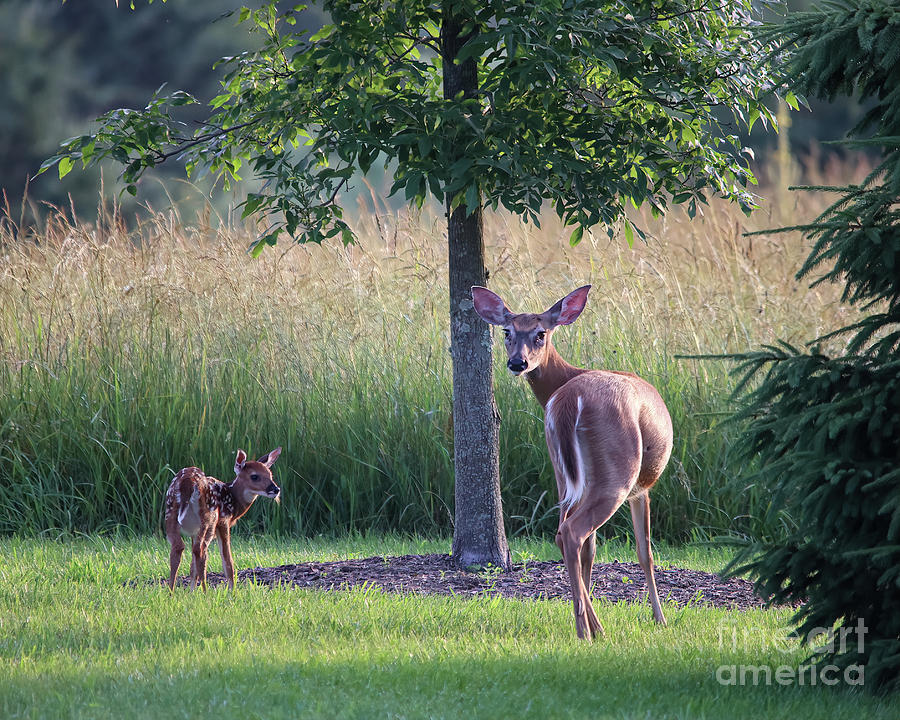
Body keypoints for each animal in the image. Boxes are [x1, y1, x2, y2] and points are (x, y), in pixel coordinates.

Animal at [165, 448, 282, 592]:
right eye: (254, 476)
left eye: (270, 474)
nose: (276, 489)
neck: (233, 500)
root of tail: (187, 483)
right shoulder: (223, 521)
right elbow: (228, 561)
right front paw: (233, 591)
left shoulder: (194, 531)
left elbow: (192, 567)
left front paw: (191, 592)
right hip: (209, 517)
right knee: (200, 549)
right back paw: (205, 592)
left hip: (170, 511)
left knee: (179, 546)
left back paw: (171, 592)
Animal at [472, 284, 676, 640]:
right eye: (507, 332)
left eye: (540, 333)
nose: (517, 362)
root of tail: (569, 401)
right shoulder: (642, 490)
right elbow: (645, 551)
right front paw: (659, 618)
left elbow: (590, 554)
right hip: (616, 472)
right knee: (573, 532)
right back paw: (588, 630)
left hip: (562, 472)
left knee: (564, 534)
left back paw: (589, 624)